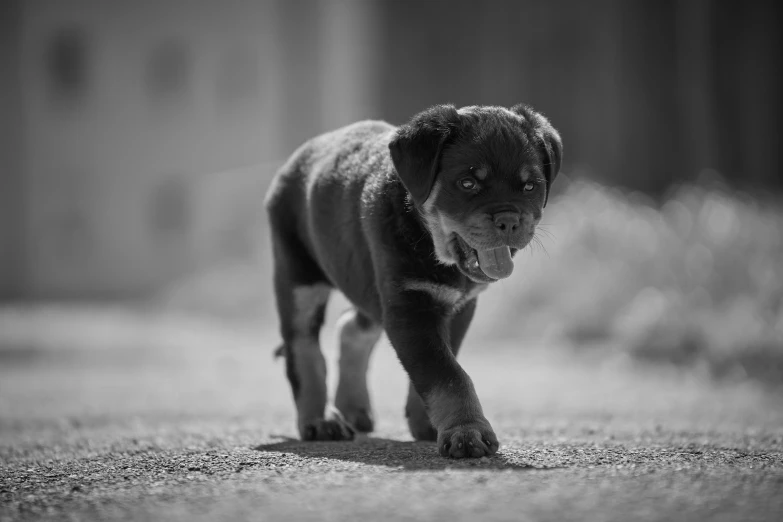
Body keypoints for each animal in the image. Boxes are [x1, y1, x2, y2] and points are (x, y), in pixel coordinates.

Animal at [266, 103, 560, 458]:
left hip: (366, 283)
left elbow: (441, 363)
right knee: (303, 347)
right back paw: (319, 420)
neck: (428, 239)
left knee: (351, 327)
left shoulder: (455, 308)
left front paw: (429, 425)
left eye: (530, 186)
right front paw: (467, 432)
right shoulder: (410, 305)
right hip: (300, 277)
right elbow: (447, 374)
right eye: (467, 183)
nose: (509, 220)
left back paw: (353, 408)